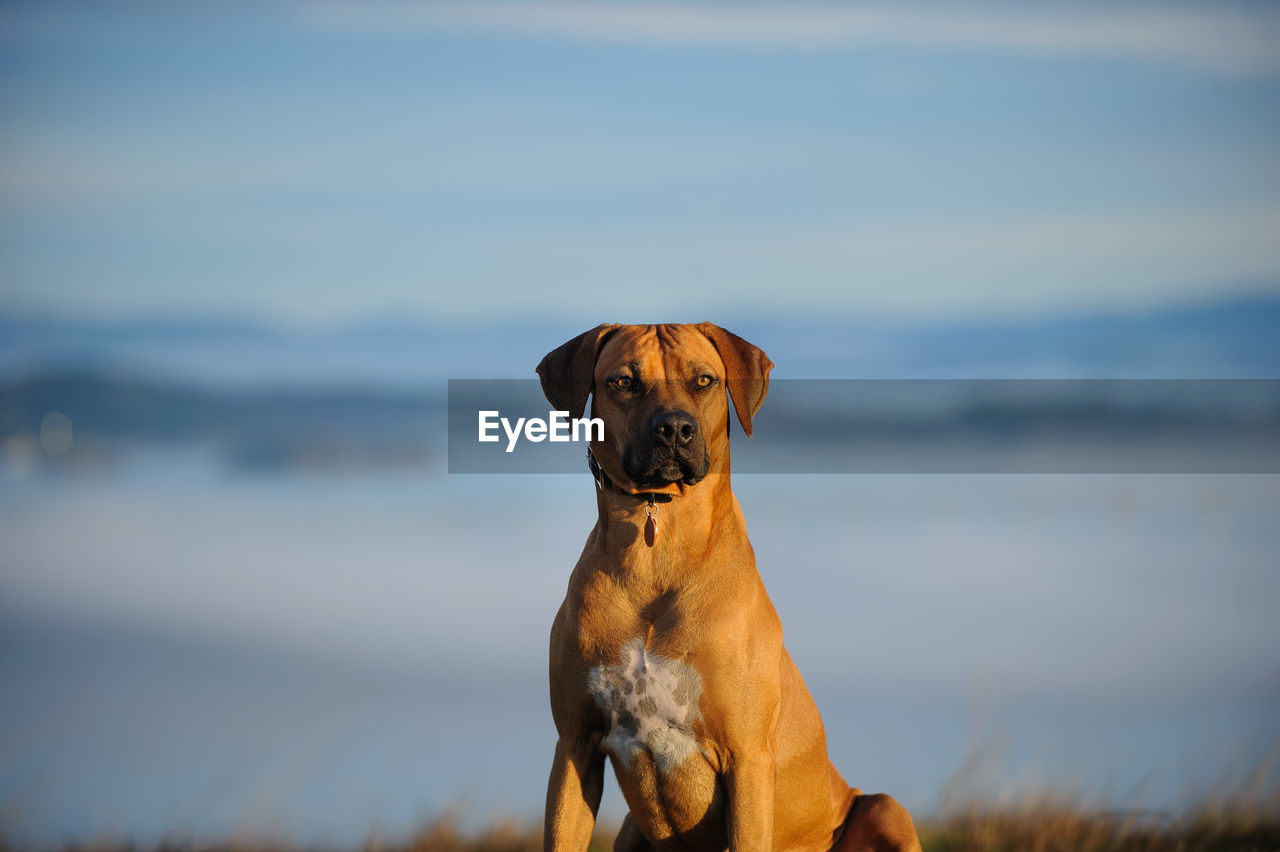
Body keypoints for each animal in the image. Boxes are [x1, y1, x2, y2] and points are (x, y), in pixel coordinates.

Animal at [537, 322, 921, 844]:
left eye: (704, 380)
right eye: (623, 383)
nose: (674, 429)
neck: (658, 547)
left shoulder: (747, 758)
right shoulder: (575, 746)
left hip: (884, 807)